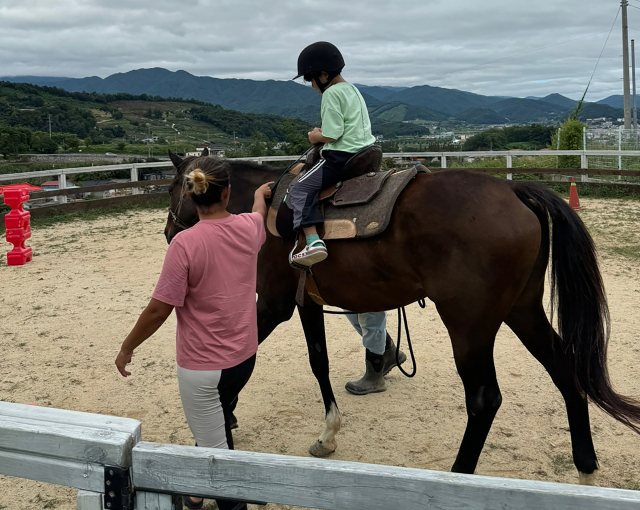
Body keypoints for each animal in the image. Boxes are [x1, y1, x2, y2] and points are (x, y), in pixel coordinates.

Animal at [161, 148, 640, 482]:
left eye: (171, 188)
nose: (168, 233)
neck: (262, 207)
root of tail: (513, 190)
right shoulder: (306, 302)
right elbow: (319, 361)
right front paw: (327, 434)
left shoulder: (274, 304)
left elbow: (237, 366)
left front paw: (220, 422)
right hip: (522, 309)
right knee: (564, 369)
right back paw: (585, 464)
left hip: (469, 323)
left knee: (484, 398)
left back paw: (459, 477)